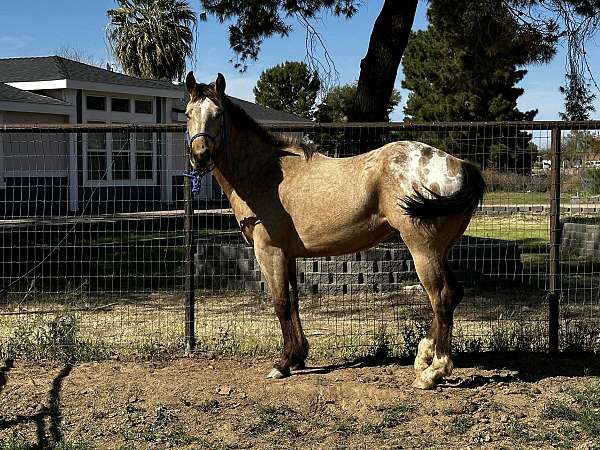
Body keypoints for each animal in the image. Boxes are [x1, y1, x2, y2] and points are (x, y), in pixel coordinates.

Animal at [185, 72, 486, 388]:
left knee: (441, 297)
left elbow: (281, 304)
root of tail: (460, 165)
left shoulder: (269, 252)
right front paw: (298, 356)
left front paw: (282, 364)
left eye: (218, 114)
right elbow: (294, 301)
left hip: (422, 250)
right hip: (441, 250)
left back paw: (433, 371)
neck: (266, 174)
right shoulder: (288, 255)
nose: (200, 155)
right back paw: (424, 356)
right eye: (189, 114)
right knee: (452, 294)